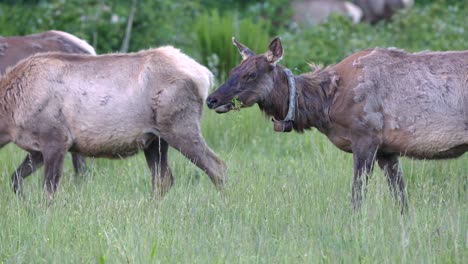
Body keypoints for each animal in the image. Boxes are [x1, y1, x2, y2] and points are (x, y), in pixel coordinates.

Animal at [207, 36, 468, 212]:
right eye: (233, 70)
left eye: (251, 74)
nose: (212, 99)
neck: (326, 105)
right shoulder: (387, 149)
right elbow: (401, 199)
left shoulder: (366, 136)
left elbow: (357, 195)